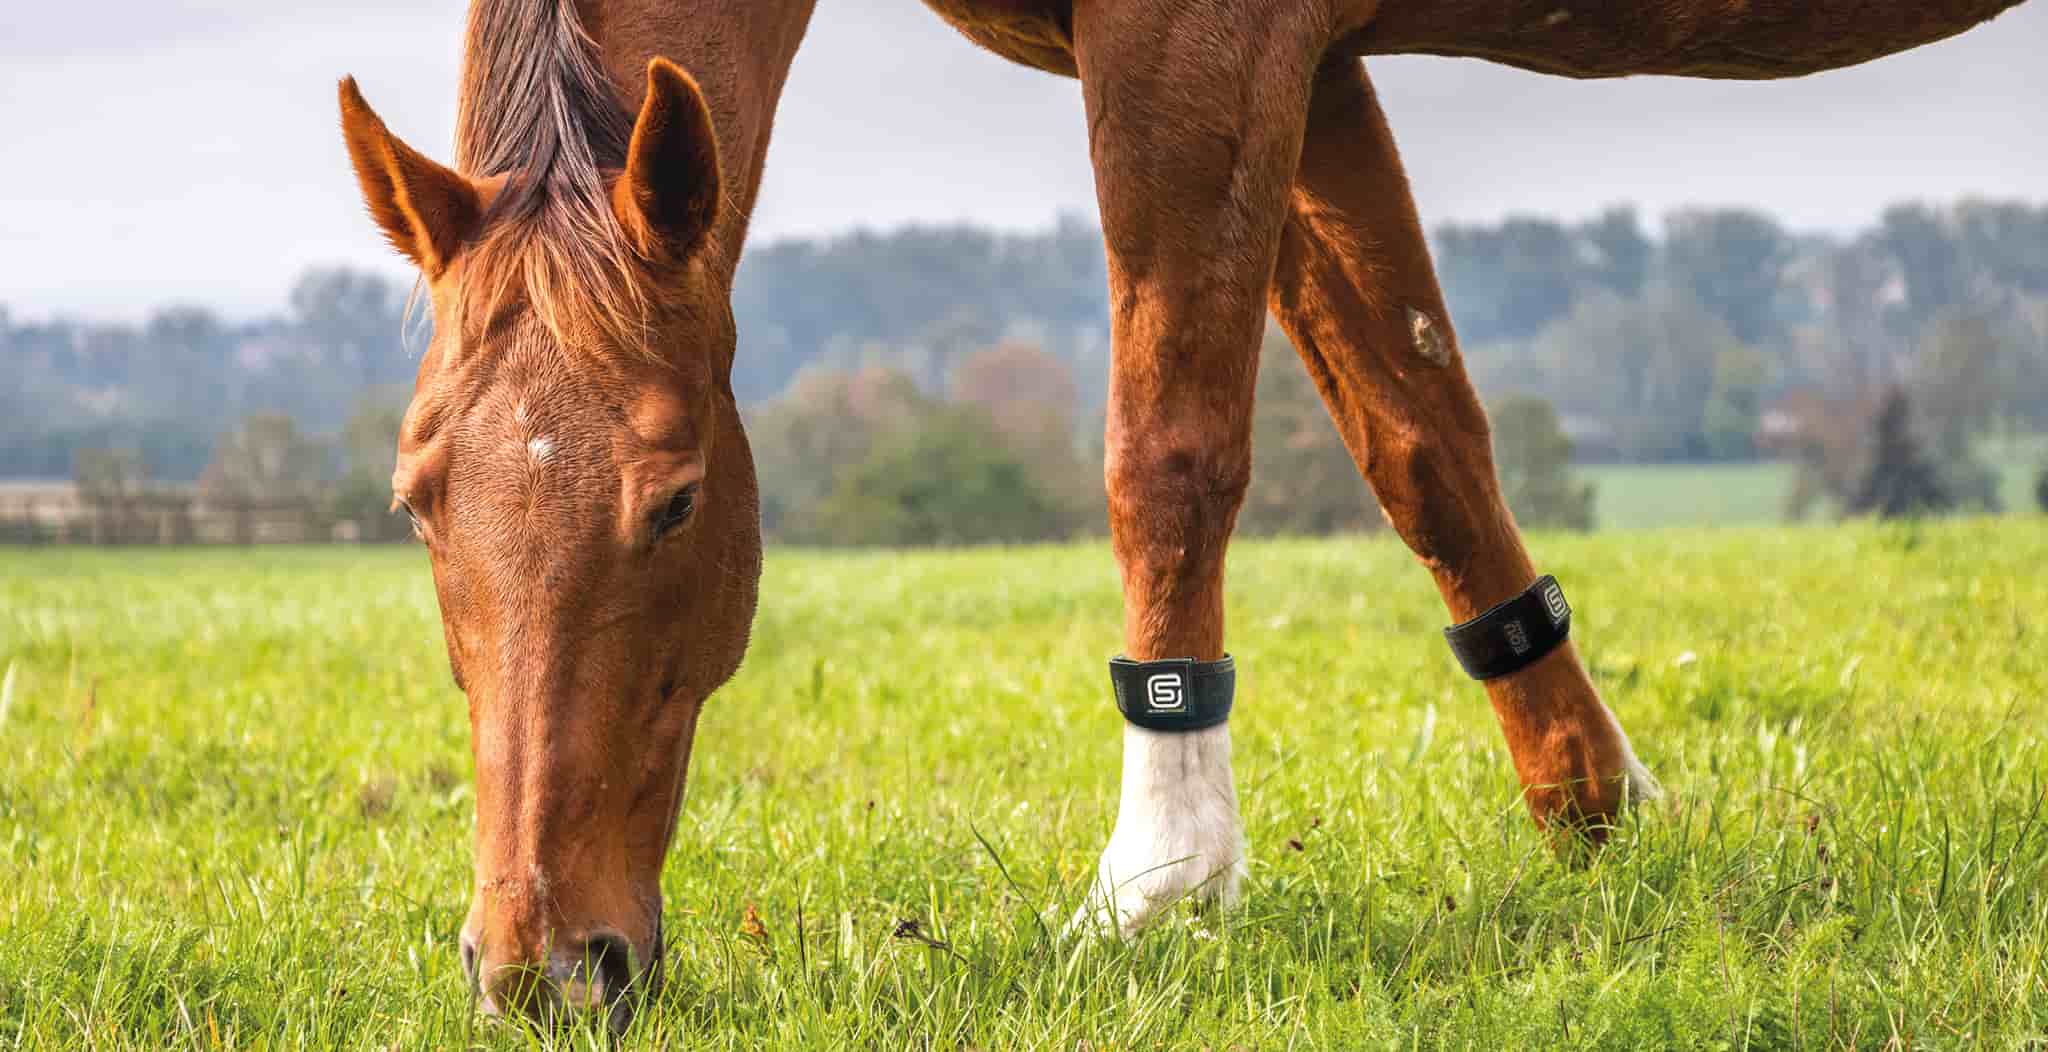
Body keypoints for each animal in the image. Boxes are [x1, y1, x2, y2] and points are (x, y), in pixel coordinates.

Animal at [337, 0, 2024, 1028]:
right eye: (417, 499)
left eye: (679, 500)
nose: (542, 968)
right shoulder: (1316, 64)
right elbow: (1419, 429)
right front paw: (1593, 814)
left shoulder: (1199, 40)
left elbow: (1168, 451)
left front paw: (1163, 881)